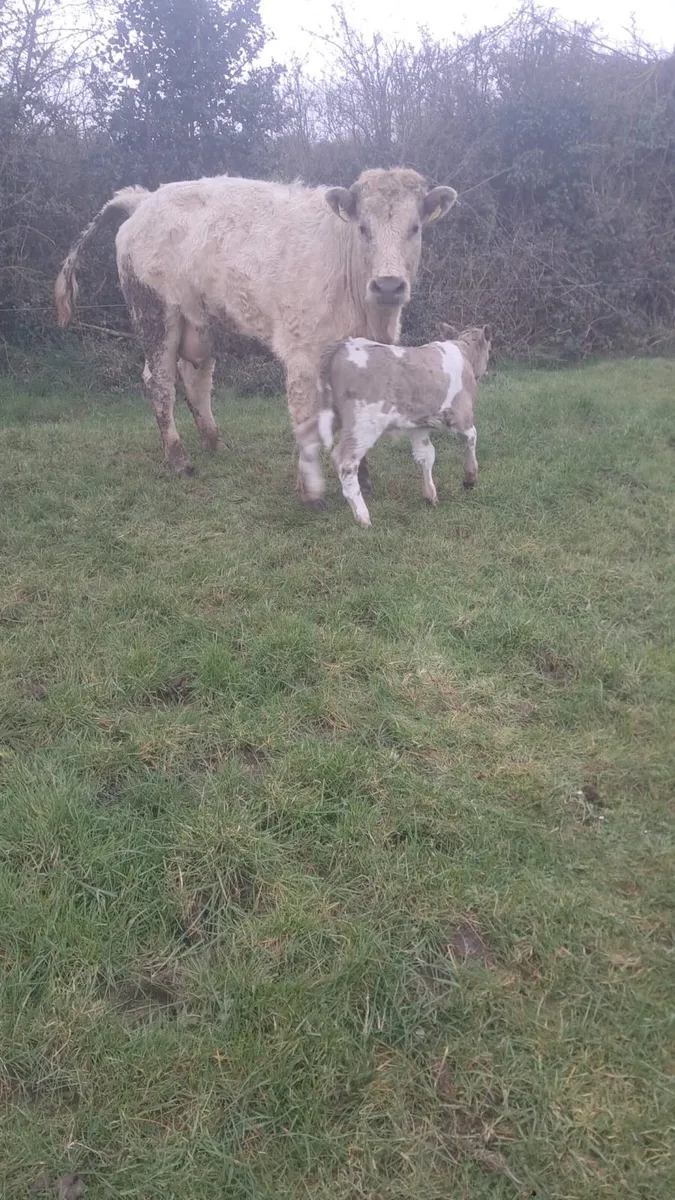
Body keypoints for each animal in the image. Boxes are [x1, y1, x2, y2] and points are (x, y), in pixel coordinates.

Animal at [54, 169, 458, 506]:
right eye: (363, 228)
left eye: (415, 227)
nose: (388, 285)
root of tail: (144, 199)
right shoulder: (301, 355)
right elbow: (304, 416)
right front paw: (310, 493)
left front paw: (361, 478)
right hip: (155, 313)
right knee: (160, 383)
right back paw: (179, 459)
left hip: (201, 322)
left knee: (196, 380)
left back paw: (214, 443)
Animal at [317, 323, 492, 527]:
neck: (464, 351)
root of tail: (343, 345)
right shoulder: (462, 414)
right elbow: (471, 438)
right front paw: (470, 479)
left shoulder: (418, 427)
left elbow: (426, 456)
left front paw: (430, 496)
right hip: (364, 424)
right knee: (345, 460)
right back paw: (362, 517)